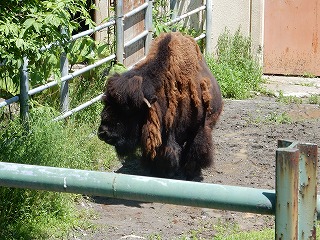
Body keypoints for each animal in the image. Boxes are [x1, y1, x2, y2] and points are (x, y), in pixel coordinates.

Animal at [97, 31, 222, 179]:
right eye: (106, 102)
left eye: (127, 109)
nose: (103, 133)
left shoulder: (198, 129)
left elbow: (193, 151)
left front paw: (190, 173)